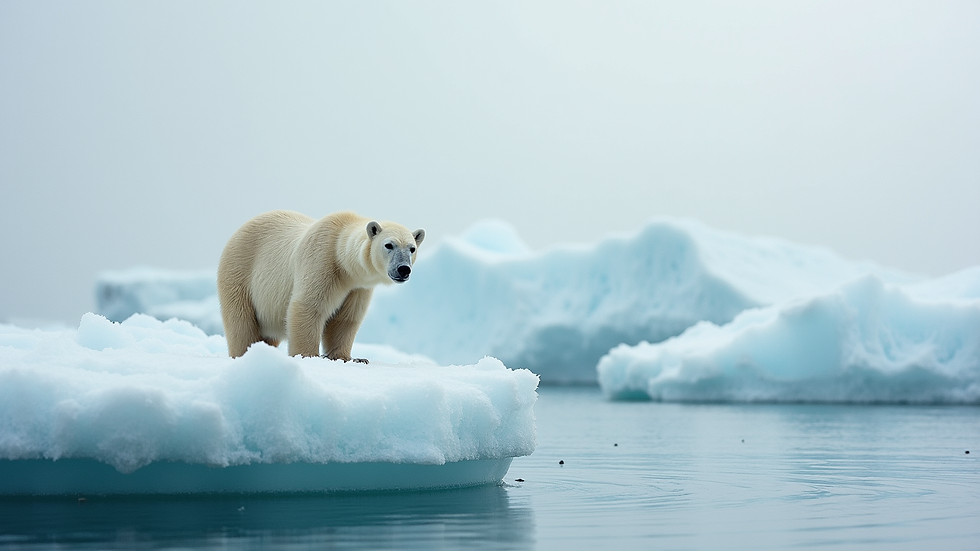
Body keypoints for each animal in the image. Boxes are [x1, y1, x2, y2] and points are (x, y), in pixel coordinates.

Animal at [217, 210, 424, 360]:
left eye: (412, 248)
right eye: (389, 245)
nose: (403, 269)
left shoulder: (357, 287)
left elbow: (345, 319)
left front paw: (350, 358)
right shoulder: (321, 261)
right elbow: (308, 307)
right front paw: (309, 356)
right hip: (239, 272)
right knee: (241, 322)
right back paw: (244, 353)